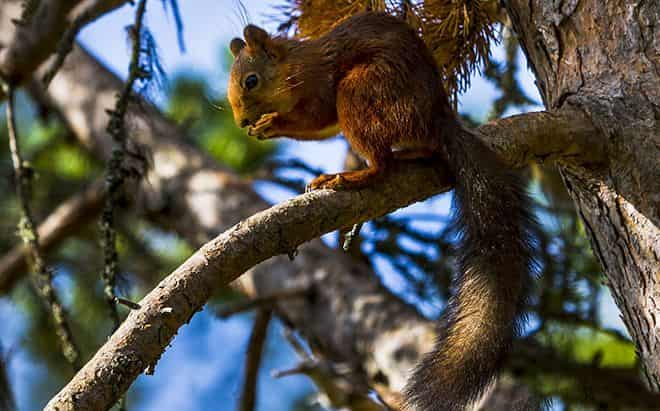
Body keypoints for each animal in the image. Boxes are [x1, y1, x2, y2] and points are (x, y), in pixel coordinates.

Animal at [227, 12, 536, 411]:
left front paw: (272, 124)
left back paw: (347, 177)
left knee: (381, 165)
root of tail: (439, 118)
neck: (294, 65)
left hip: (362, 91)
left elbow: (314, 118)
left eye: (251, 80)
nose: (242, 123)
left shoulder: (320, 84)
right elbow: (318, 129)